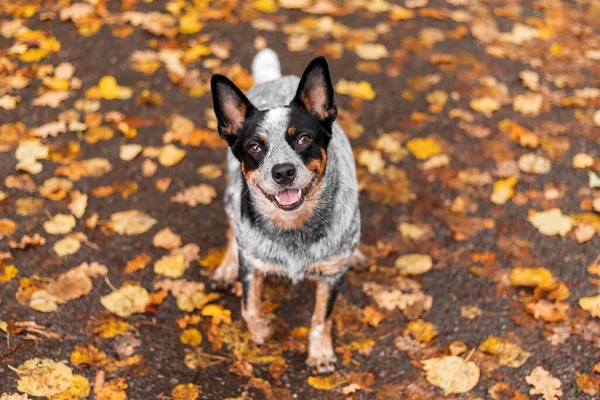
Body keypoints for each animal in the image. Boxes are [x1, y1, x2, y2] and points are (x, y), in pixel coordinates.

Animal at [211, 48, 360, 374]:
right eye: (254, 147)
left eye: (304, 138)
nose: (283, 172)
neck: (293, 229)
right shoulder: (252, 265)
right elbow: (249, 309)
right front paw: (262, 331)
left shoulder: (332, 277)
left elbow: (321, 318)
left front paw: (320, 354)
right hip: (231, 195)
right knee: (230, 228)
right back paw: (226, 266)